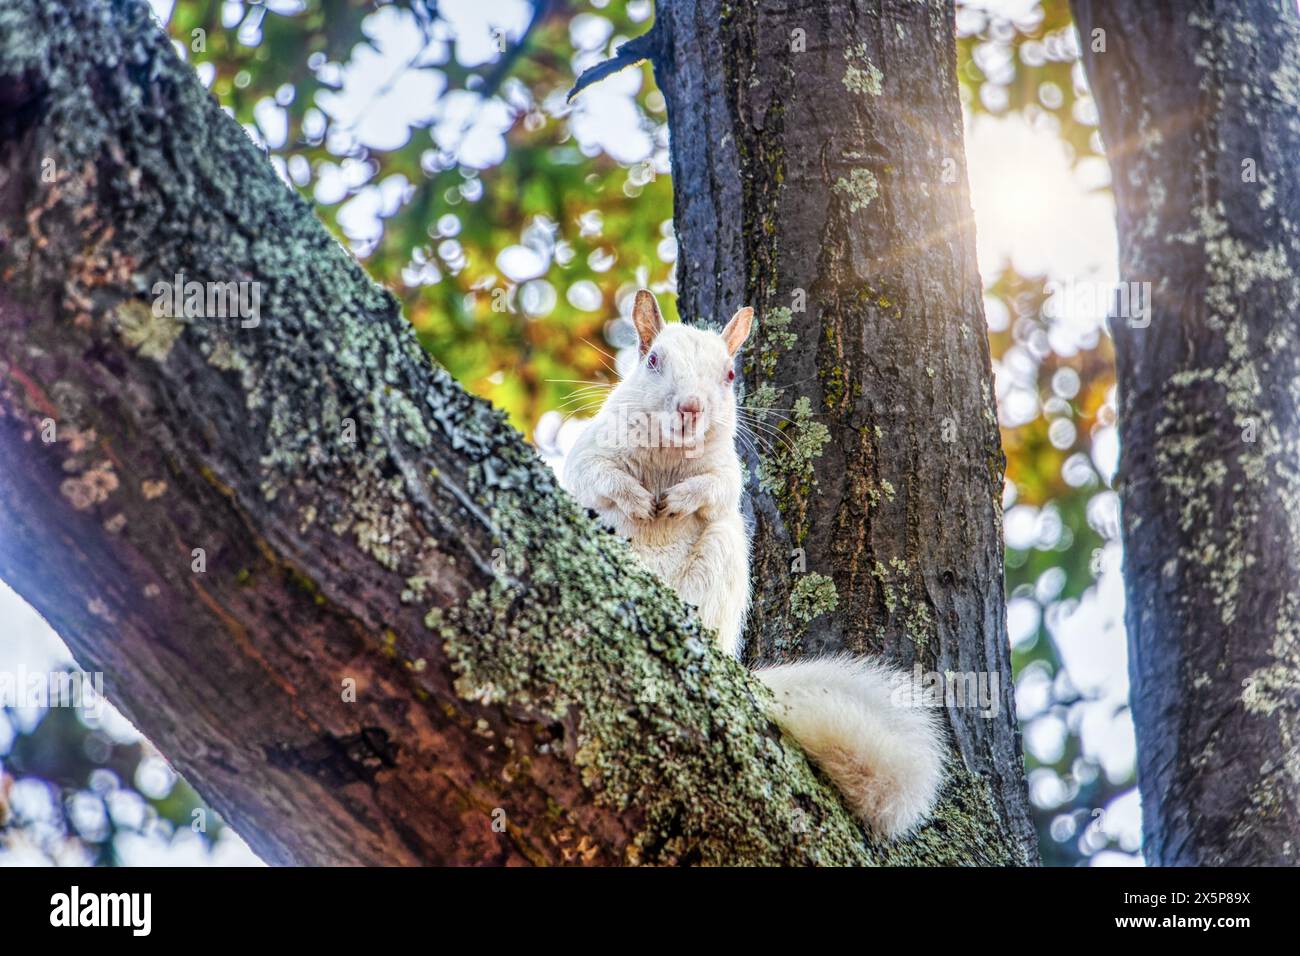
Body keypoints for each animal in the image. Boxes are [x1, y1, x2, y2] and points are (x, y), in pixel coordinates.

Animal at [562, 289, 945, 839]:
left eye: (728, 375)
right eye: (653, 361)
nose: (691, 408)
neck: (667, 457)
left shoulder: (727, 472)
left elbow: (717, 488)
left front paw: (678, 501)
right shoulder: (591, 448)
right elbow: (596, 474)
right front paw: (636, 500)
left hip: (722, 555)